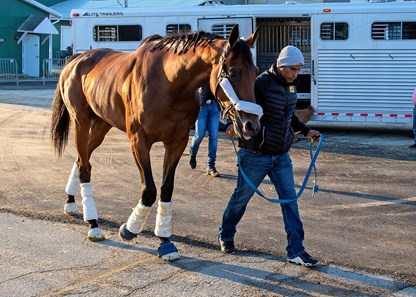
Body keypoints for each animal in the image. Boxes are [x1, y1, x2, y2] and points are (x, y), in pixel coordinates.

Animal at [50, 24, 262, 260]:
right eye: (233, 72)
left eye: (255, 72)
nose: (252, 125)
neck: (169, 83)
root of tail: (76, 60)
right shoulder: (139, 141)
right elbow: (150, 190)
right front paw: (129, 229)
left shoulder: (176, 143)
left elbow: (166, 188)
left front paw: (165, 240)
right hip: (80, 121)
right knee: (85, 166)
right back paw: (93, 224)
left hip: (102, 124)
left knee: (81, 160)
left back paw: (71, 202)